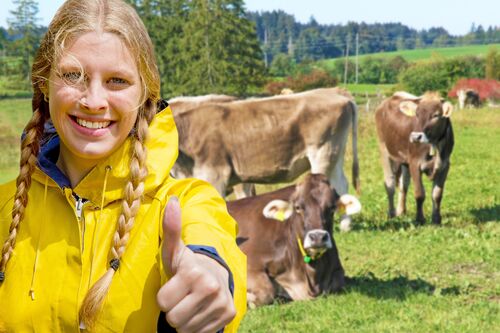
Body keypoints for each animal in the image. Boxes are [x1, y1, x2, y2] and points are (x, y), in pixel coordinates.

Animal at [172, 87, 360, 230]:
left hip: (323, 154)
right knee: (342, 184)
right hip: (334, 156)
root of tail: (337, 94)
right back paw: (345, 226)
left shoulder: (216, 173)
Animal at [226, 174, 360, 306]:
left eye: (332, 208)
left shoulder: (337, 270)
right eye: (298, 207)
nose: (318, 237)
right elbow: (266, 291)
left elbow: (339, 281)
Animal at [376, 92, 454, 224]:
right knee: (390, 184)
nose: (415, 136)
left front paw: (436, 219)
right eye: (417, 114)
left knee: (403, 185)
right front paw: (420, 219)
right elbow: (419, 194)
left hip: (404, 161)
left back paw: (401, 211)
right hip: (384, 150)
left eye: (436, 115)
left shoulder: (445, 165)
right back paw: (391, 213)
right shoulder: (414, 163)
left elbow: (437, 194)